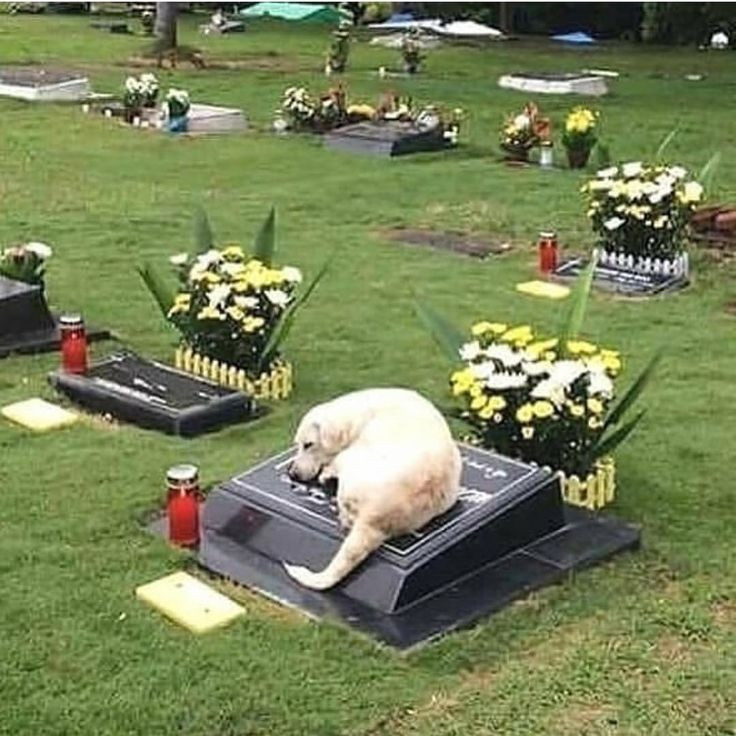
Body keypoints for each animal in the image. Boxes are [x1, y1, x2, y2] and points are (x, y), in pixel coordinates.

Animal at [284, 388, 461, 590]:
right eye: (297, 445)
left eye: (309, 445)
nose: (292, 473)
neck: (358, 416)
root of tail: (374, 517)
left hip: (351, 459)